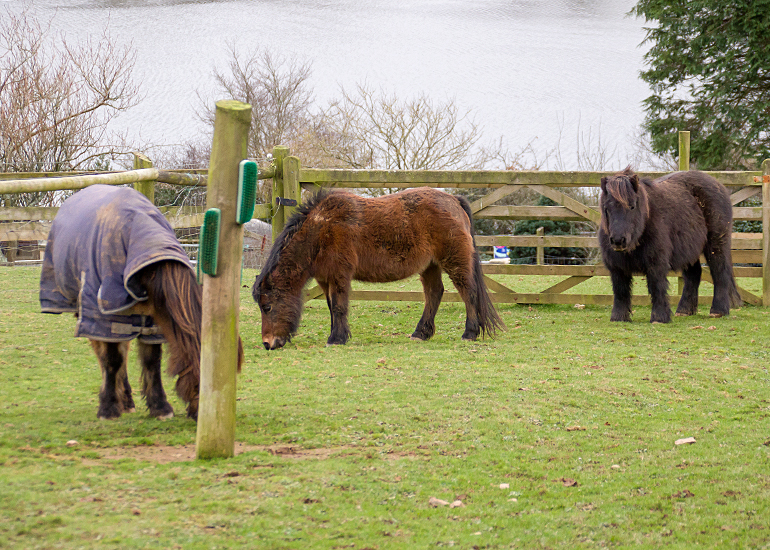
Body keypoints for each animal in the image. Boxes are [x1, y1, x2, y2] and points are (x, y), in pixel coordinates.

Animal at [40, 184, 242, 420]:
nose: (201, 415)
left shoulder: (152, 321)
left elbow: (151, 361)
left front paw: (160, 406)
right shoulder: (107, 313)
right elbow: (112, 360)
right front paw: (108, 408)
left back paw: (127, 400)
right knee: (103, 352)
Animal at [252, 187, 504, 349]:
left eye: (267, 307)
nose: (267, 343)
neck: (321, 229)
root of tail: (453, 200)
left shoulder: (339, 275)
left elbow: (339, 307)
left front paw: (337, 339)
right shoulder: (325, 279)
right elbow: (331, 307)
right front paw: (336, 334)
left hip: (454, 261)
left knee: (468, 292)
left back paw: (470, 332)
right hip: (430, 266)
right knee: (434, 293)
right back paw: (420, 333)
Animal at [598, 167, 741, 323]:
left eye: (632, 207)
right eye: (606, 208)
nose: (618, 240)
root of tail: (719, 185)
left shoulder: (656, 263)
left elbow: (657, 287)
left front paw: (659, 317)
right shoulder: (616, 267)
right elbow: (620, 291)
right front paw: (619, 318)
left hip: (716, 244)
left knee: (720, 272)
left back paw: (718, 310)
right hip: (689, 251)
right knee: (694, 275)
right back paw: (685, 310)